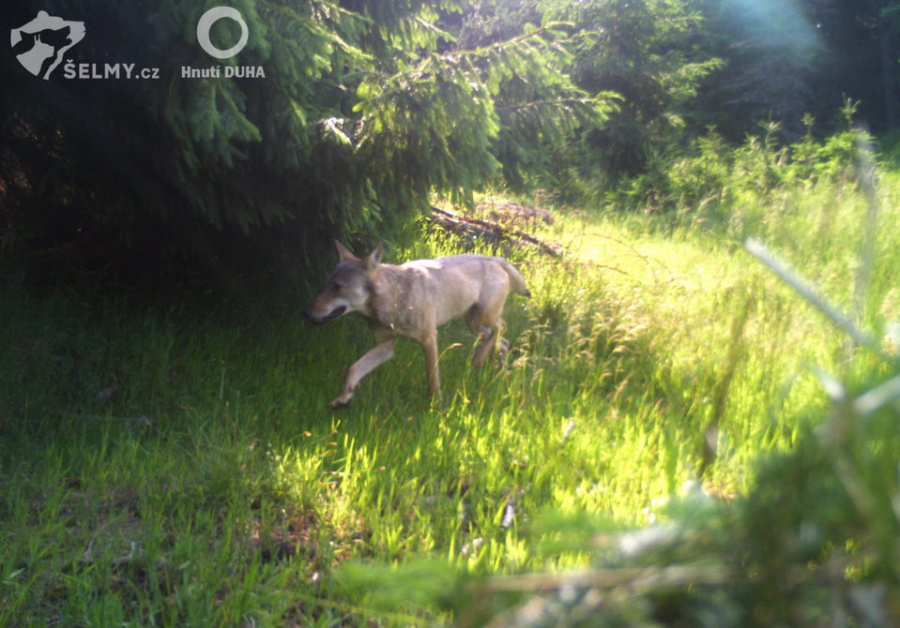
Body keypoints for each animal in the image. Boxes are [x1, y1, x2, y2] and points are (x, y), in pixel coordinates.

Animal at [304, 240, 528, 408]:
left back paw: (481, 359)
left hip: (483, 318)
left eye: (338, 287)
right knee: (502, 340)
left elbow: (433, 379)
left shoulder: (429, 339)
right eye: (326, 285)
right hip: (474, 325)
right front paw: (343, 398)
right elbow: (352, 370)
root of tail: (495, 259)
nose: (306, 312)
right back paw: (497, 369)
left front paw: (436, 407)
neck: (393, 298)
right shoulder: (385, 346)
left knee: (502, 327)